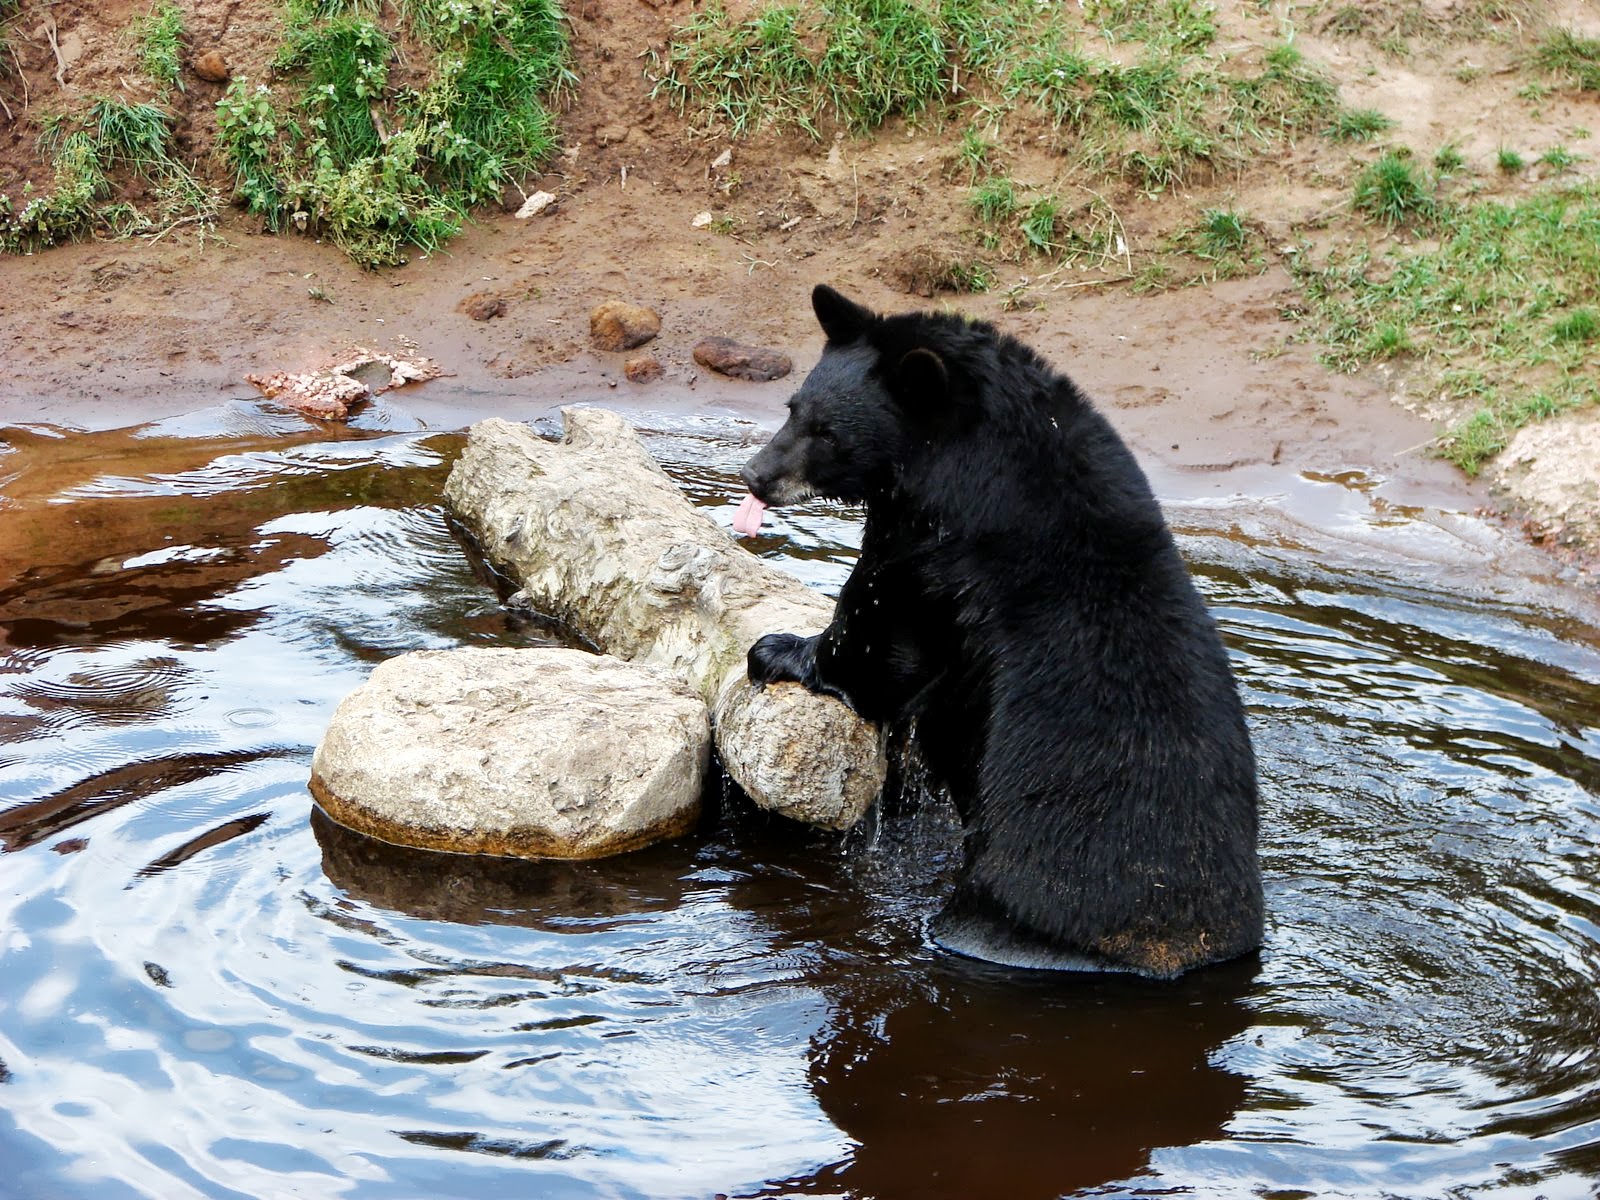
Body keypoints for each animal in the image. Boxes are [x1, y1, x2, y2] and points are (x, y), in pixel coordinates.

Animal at [736, 284, 1263, 979]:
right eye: (793, 407)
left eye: (826, 431)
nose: (755, 475)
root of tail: (1173, 950)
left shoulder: (932, 549)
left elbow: (880, 635)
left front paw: (780, 651)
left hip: (1008, 894)